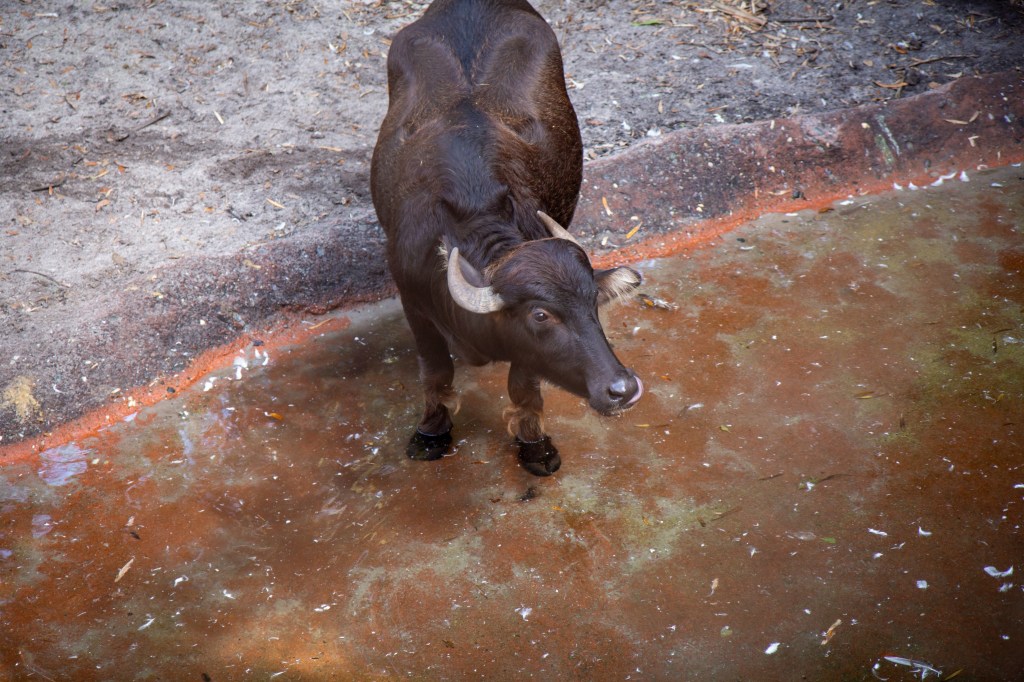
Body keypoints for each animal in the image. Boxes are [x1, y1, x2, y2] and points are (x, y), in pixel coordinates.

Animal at [370, 0, 643, 475]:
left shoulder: (525, 354)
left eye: (593, 302)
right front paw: (431, 432)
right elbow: (435, 373)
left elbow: (523, 387)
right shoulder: (414, 304)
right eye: (541, 315)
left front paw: (534, 444)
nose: (622, 389)